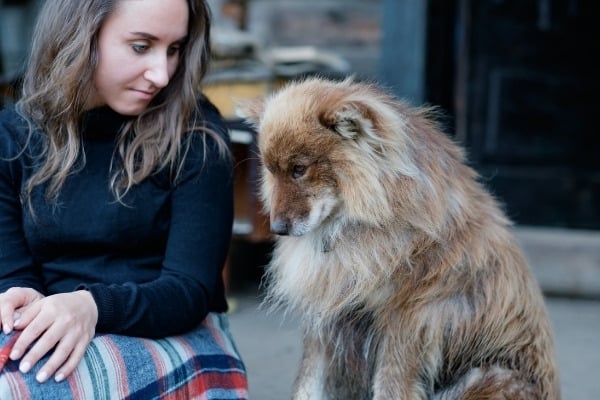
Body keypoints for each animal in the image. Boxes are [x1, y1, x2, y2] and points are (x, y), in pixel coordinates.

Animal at [239, 78, 564, 400]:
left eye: (299, 169)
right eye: (270, 170)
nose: (278, 227)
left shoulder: (407, 326)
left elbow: (389, 388)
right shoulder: (324, 321)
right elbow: (307, 386)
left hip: (487, 376)